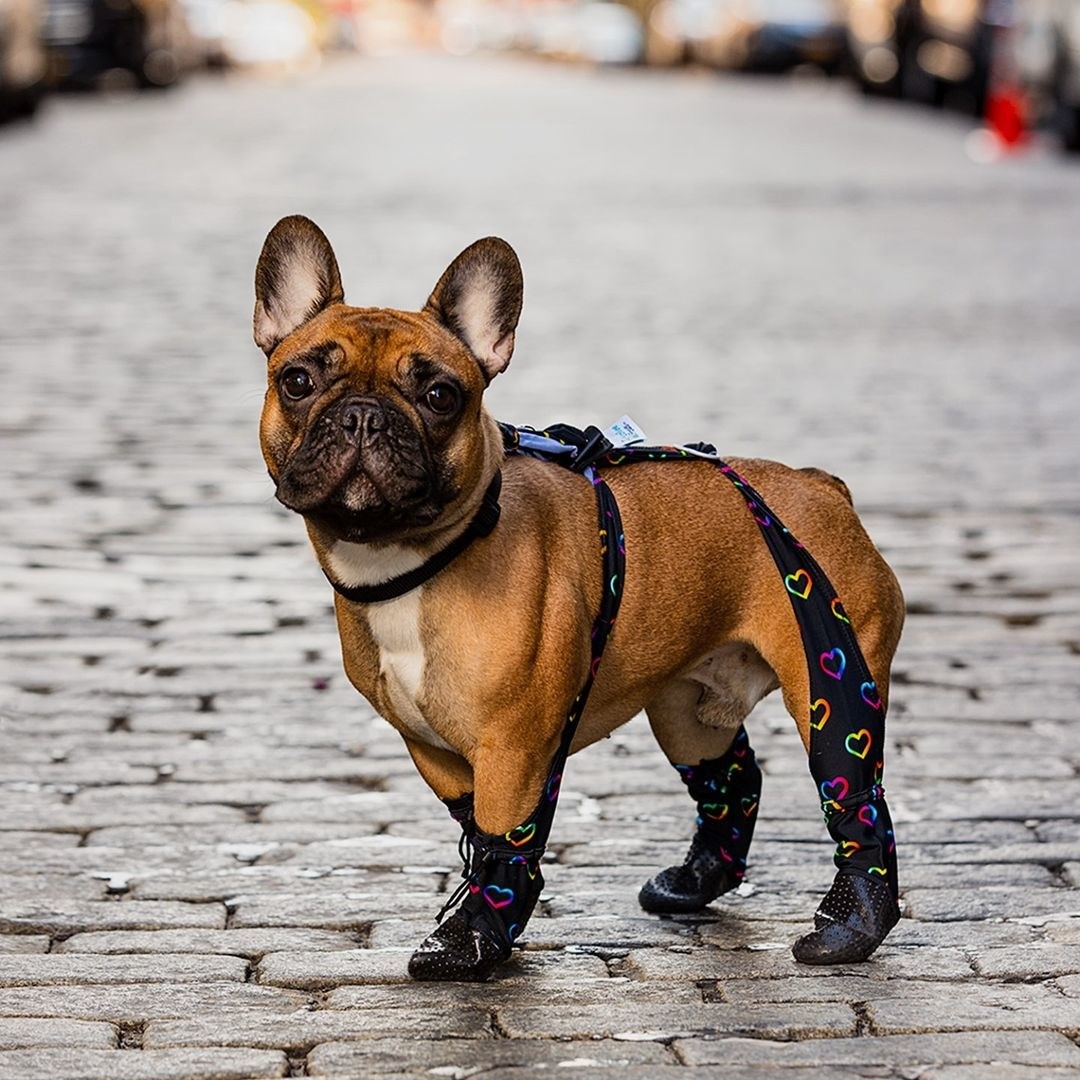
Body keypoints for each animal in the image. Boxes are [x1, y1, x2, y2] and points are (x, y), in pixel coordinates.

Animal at [252, 214, 902, 984]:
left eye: (441, 397)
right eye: (297, 380)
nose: (362, 417)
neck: (415, 559)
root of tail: (822, 486)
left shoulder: (515, 748)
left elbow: (507, 842)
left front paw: (472, 938)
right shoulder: (435, 749)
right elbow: (477, 832)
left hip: (830, 673)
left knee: (853, 791)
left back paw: (850, 928)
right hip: (686, 706)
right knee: (727, 779)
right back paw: (693, 882)